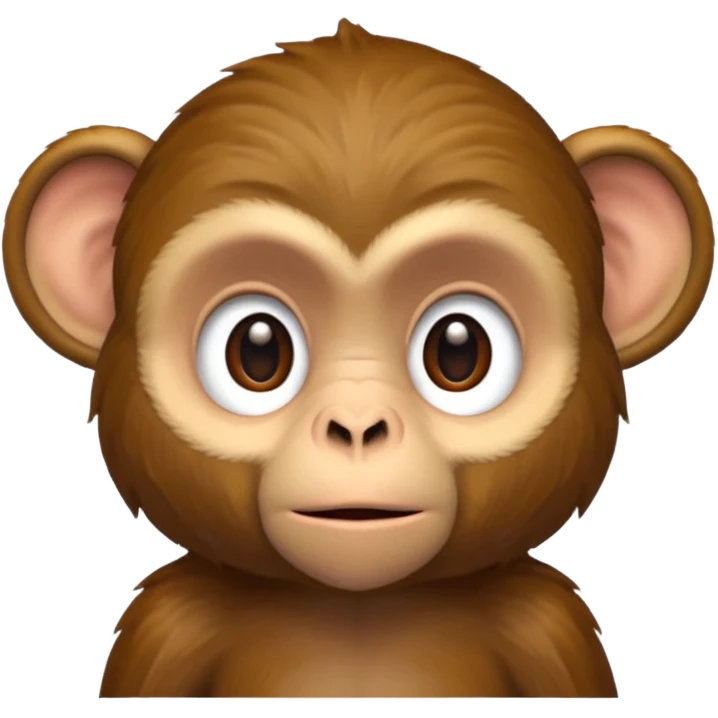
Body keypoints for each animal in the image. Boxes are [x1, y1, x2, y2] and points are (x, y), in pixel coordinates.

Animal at [2, 19, 714, 700]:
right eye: (257, 349)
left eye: (459, 350)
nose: (357, 426)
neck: (359, 608)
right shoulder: (167, 630)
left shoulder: (549, 630)